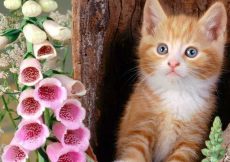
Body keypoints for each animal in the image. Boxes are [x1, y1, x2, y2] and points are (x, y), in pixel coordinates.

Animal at [115, 0, 226, 162]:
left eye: (191, 52)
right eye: (162, 49)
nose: (173, 63)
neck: (176, 93)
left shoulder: (191, 139)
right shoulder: (139, 124)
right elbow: (134, 153)